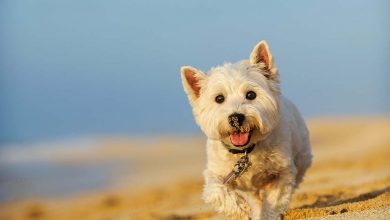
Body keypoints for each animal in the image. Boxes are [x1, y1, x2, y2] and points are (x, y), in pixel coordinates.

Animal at [181, 40, 312, 219]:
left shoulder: (282, 172)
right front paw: (240, 210)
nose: (235, 117)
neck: (246, 151)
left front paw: (267, 215)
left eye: (251, 95)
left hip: (302, 157)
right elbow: (217, 191)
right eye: (219, 98)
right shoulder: (216, 173)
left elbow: (274, 201)